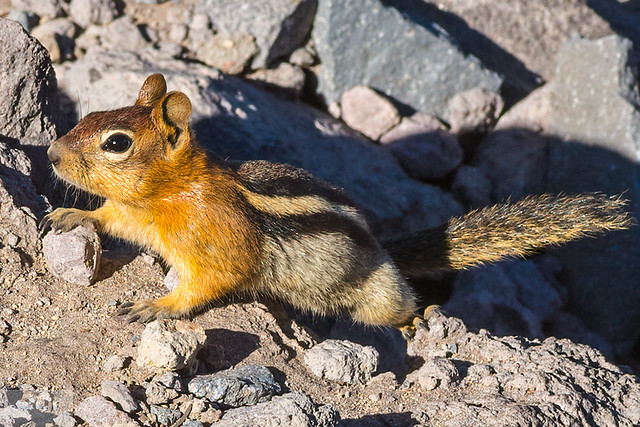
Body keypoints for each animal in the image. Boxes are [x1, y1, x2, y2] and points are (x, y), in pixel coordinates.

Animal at [42, 75, 632, 340]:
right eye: (89, 114)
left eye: (117, 142)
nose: (50, 154)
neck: (168, 193)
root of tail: (382, 247)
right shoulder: (133, 216)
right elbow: (108, 218)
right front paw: (73, 215)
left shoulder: (219, 246)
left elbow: (207, 285)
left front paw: (156, 305)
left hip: (376, 295)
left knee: (398, 306)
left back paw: (417, 321)